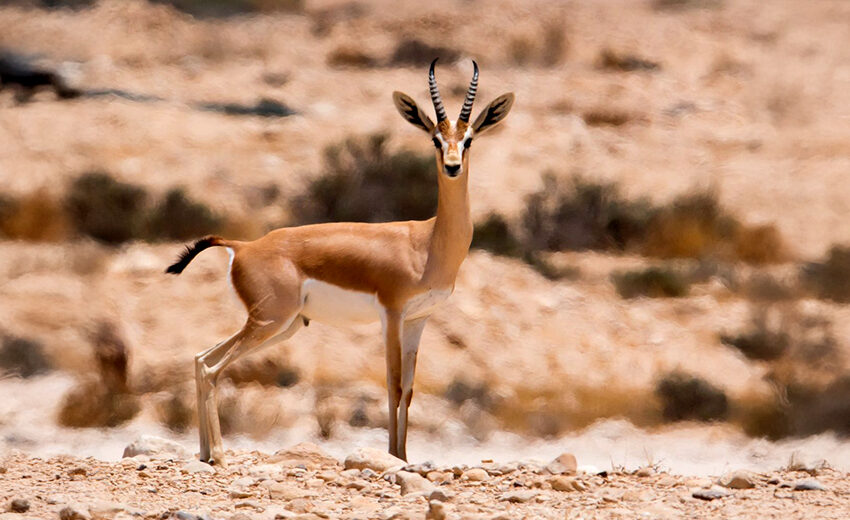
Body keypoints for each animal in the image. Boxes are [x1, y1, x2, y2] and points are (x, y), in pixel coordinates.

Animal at [166, 59, 514, 465]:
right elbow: (393, 385)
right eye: (435, 140)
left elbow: (410, 388)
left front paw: (404, 456)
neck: (427, 243)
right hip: (270, 321)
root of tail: (242, 245)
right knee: (211, 367)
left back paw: (205, 454)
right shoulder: (391, 313)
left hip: (282, 325)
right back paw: (219, 456)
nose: (453, 166)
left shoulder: (418, 319)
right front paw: (394, 456)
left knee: (199, 358)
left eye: (469, 139)